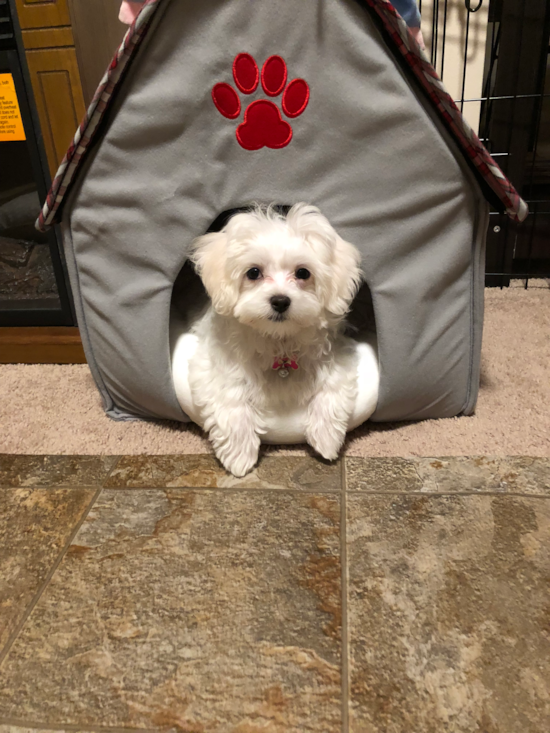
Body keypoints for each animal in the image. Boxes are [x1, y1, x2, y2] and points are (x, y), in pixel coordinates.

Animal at [189, 202, 366, 474]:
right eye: (253, 272)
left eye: (303, 273)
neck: (278, 338)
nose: (280, 301)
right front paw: (240, 456)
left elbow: (332, 385)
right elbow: (231, 396)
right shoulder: (212, 362)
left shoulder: (338, 350)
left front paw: (326, 439)